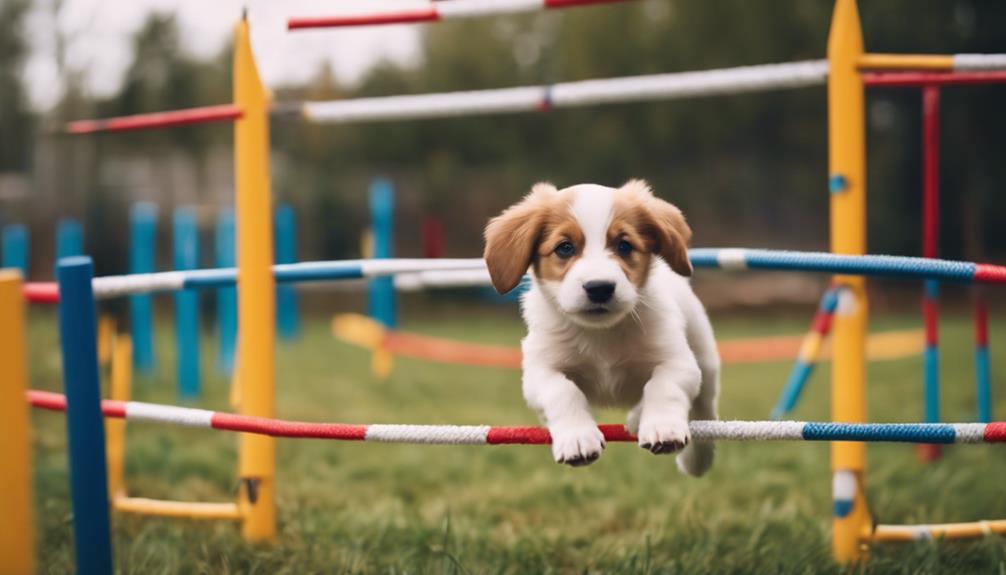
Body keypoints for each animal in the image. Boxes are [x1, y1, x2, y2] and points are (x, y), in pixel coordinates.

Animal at [482, 179, 720, 476]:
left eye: (624, 246)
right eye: (564, 248)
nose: (599, 288)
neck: (600, 334)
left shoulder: (678, 361)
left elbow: (663, 386)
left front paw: (661, 427)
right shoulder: (540, 371)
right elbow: (562, 391)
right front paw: (577, 438)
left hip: (705, 361)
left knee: (705, 410)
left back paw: (693, 457)